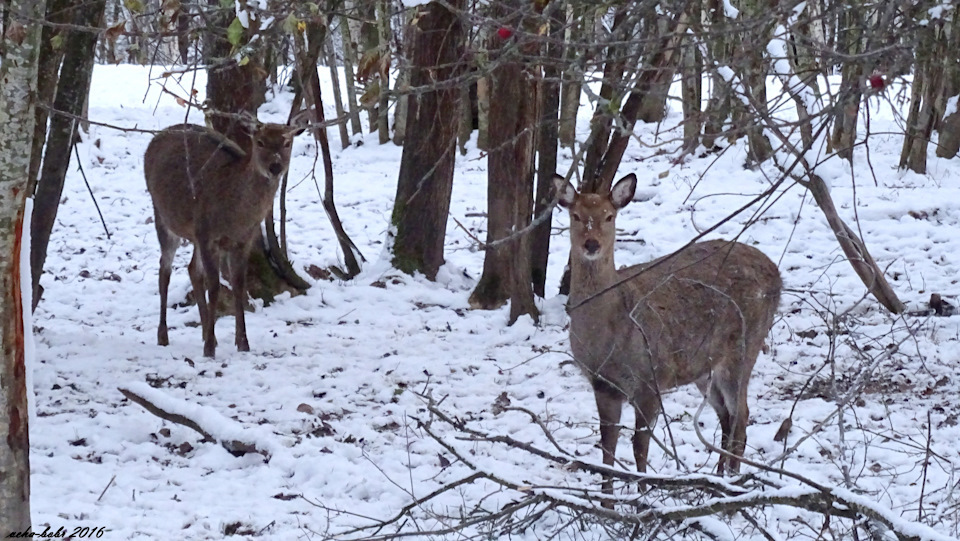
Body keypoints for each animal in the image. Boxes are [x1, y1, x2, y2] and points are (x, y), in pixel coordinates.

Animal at [142, 116, 304, 356]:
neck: (237, 217)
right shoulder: (208, 234)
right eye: (260, 142)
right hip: (163, 215)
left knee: (192, 269)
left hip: (194, 232)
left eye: (287, 143)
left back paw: (206, 334)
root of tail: (154, 139)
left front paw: (242, 343)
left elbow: (238, 285)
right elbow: (215, 286)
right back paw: (164, 336)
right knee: (164, 270)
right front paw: (209, 349)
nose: (275, 167)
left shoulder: (243, 240)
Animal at [556, 173, 780, 490]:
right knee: (726, 415)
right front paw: (607, 495)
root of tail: (777, 274)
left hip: (745, 346)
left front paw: (642, 492)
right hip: (703, 366)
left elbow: (640, 445)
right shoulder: (603, 385)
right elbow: (607, 447)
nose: (591, 244)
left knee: (741, 415)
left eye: (609, 216)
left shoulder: (651, 378)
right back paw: (718, 476)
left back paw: (733, 479)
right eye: (575, 215)